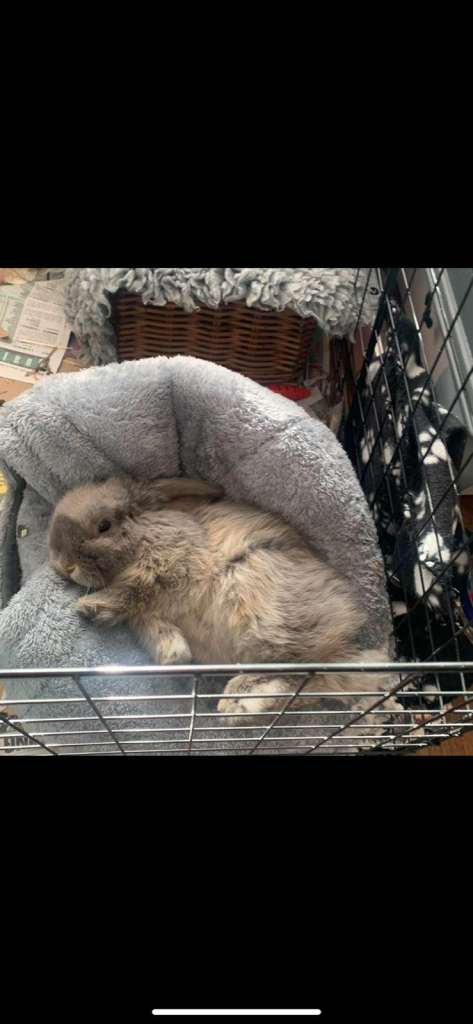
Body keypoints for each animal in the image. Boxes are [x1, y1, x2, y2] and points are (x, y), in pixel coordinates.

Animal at [48, 475, 403, 732]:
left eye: (104, 525)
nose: (64, 565)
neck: (142, 535)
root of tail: (343, 649)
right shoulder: (151, 612)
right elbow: (149, 623)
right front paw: (174, 656)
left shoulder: (164, 569)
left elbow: (131, 592)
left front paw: (89, 607)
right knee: (303, 686)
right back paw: (237, 708)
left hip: (268, 620)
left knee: (292, 672)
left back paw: (234, 700)